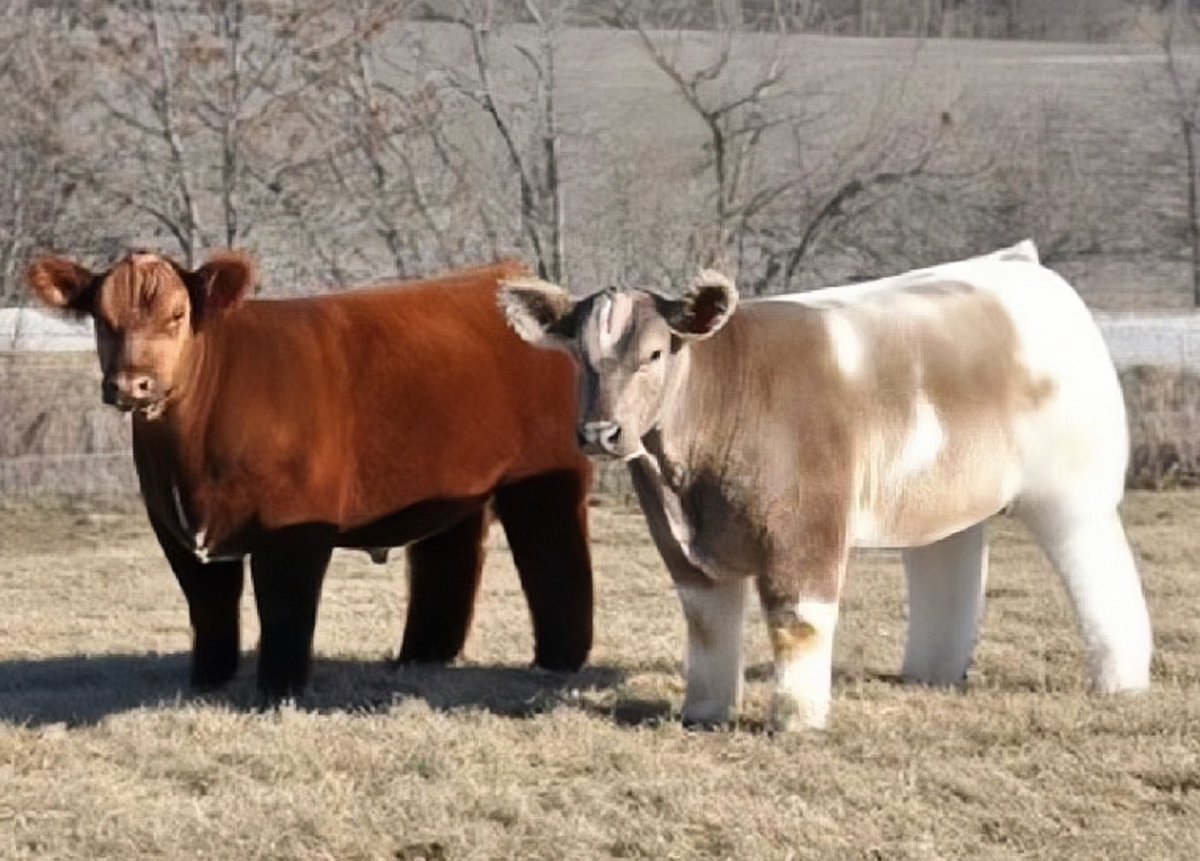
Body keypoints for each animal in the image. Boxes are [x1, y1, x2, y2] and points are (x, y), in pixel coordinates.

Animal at [26, 252, 594, 701]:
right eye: (101, 319)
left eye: (177, 315)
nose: (132, 384)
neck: (190, 460)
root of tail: (509, 275)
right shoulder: (172, 525)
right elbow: (208, 607)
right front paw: (207, 683)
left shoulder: (294, 524)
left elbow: (285, 605)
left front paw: (279, 691)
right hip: (449, 485)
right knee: (448, 559)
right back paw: (423, 656)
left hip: (544, 478)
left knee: (555, 560)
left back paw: (558, 661)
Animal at [498, 241, 1153, 732]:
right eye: (579, 357)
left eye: (656, 353)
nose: (600, 432)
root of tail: (1018, 264)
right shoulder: (684, 550)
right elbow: (707, 624)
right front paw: (704, 712)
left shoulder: (803, 531)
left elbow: (799, 623)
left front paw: (796, 721)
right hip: (942, 495)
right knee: (946, 566)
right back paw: (931, 670)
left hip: (1072, 494)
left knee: (1103, 578)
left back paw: (1122, 680)